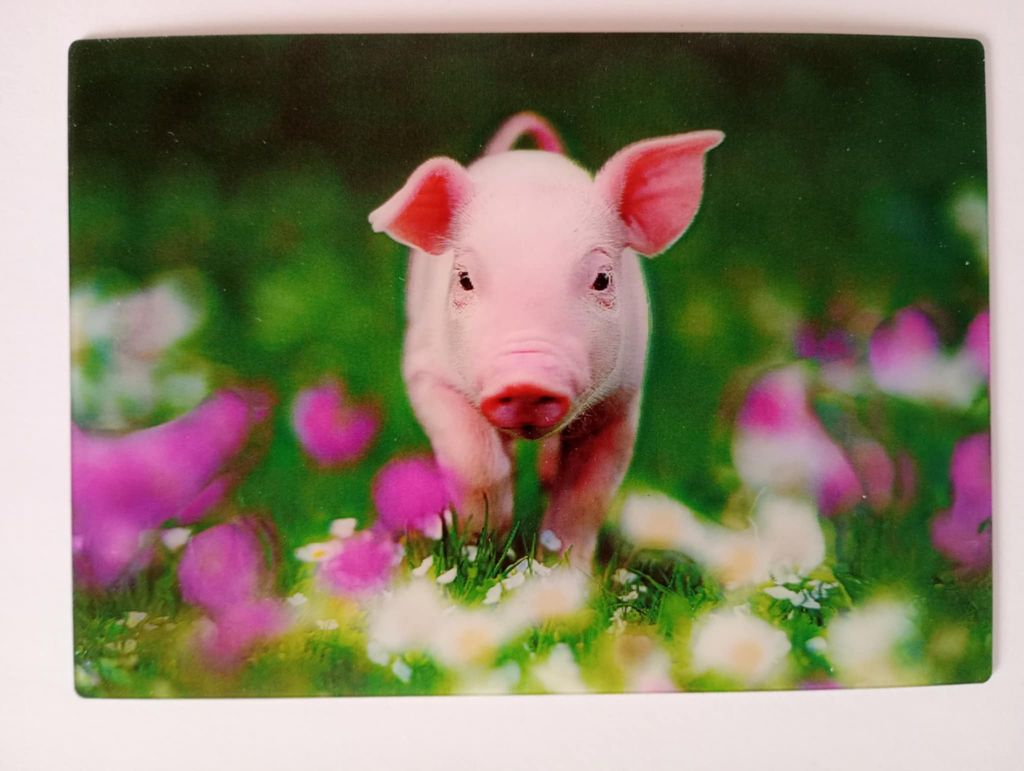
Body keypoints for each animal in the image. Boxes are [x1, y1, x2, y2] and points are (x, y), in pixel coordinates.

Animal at [369, 112, 723, 567]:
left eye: (602, 278)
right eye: (464, 279)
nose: (526, 380)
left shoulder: (621, 398)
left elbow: (587, 495)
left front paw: (560, 572)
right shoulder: (425, 371)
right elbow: (475, 460)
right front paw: (480, 546)